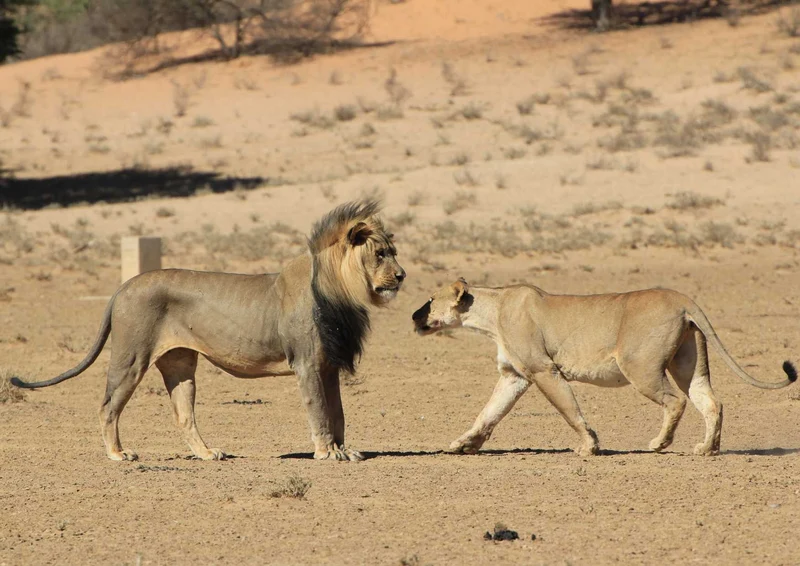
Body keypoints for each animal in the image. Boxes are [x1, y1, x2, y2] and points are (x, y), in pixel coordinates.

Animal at [12, 200, 405, 462]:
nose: (402, 276)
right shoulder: (307, 363)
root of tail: (124, 286)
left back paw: (207, 453)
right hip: (131, 356)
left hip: (180, 364)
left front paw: (345, 450)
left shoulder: (329, 365)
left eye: (394, 252)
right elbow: (319, 410)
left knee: (183, 415)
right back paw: (118, 454)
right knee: (108, 405)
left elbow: (338, 412)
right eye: (381, 254)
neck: (340, 290)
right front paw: (327, 452)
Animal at [412, 279, 796, 457]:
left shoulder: (543, 370)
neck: (490, 313)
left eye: (429, 300)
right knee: (712, 402)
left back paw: (659, 443)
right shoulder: (515, 376)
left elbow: (570, 411)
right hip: (689, 366)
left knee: (676, 401)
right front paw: (464, 444)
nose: (413, 315)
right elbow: (488, 413)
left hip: (639, 367)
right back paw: (707, 449)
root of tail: (682, 298)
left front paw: (588, 446)